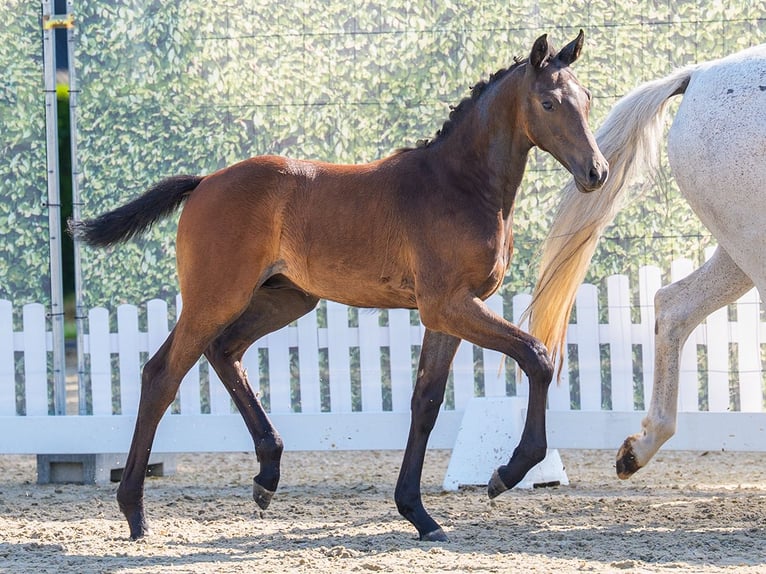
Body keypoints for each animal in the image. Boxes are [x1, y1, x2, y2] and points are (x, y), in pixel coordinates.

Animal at [70, 30, 607, 542]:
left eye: (586, 98)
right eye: (548, 103)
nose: (596, 172)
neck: (459, 185)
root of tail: (204, 182)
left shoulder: (448, 314)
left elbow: (426, 403)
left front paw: (419, 514)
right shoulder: (449, 306)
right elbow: (537, 357)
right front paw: (504, 474)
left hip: (286, 299)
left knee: (224, 351)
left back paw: (267, 476)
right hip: (215, 298)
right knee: (162, 374)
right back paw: (136, 512)